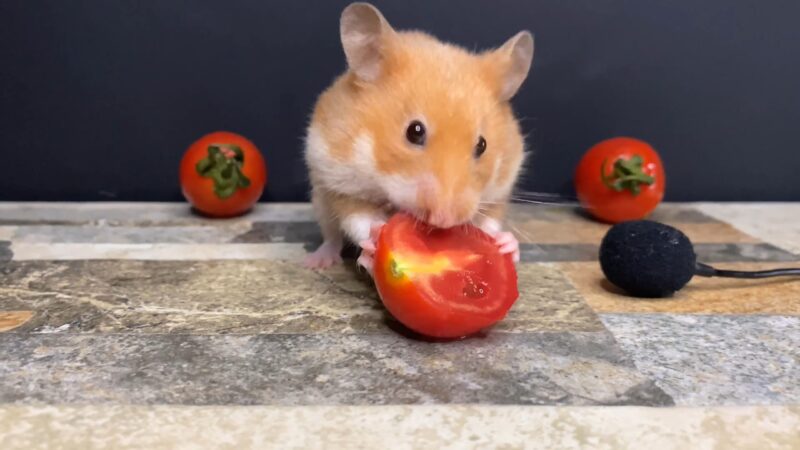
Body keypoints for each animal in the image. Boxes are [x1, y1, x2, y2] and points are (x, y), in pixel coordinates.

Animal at [304, 2, 536, 274]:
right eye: (414, 131)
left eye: (482, 145)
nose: (444, 220)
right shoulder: (340, 182)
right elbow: (358, 218)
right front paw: (372, 243)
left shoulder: (498, 192)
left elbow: (488, 222)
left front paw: (507, 245)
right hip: (319, 200)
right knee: (331, 236)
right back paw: (317, 261)